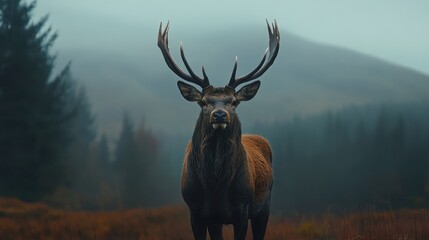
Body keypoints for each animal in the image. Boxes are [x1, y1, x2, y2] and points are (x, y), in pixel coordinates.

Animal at [157, 20, 280, 240]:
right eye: (204, 102)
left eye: (234, 102)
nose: (220, 115)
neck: (215, 188)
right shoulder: (197, 212)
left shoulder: (242, 209)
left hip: (264, 207)